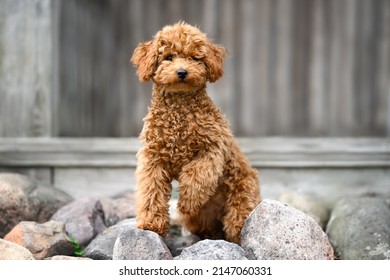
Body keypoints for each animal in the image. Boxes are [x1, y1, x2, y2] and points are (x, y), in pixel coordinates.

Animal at [132, 21, 262, 244]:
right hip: (199, 219)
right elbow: (151, 190)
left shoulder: (213, 150)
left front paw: (187, 201)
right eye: (169, 57)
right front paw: (150, 224)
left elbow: (197, 175)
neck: (180, 110)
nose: (182, 72)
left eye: (194, 58)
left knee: (237, 223)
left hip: (243, 196)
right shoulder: (153, 159)